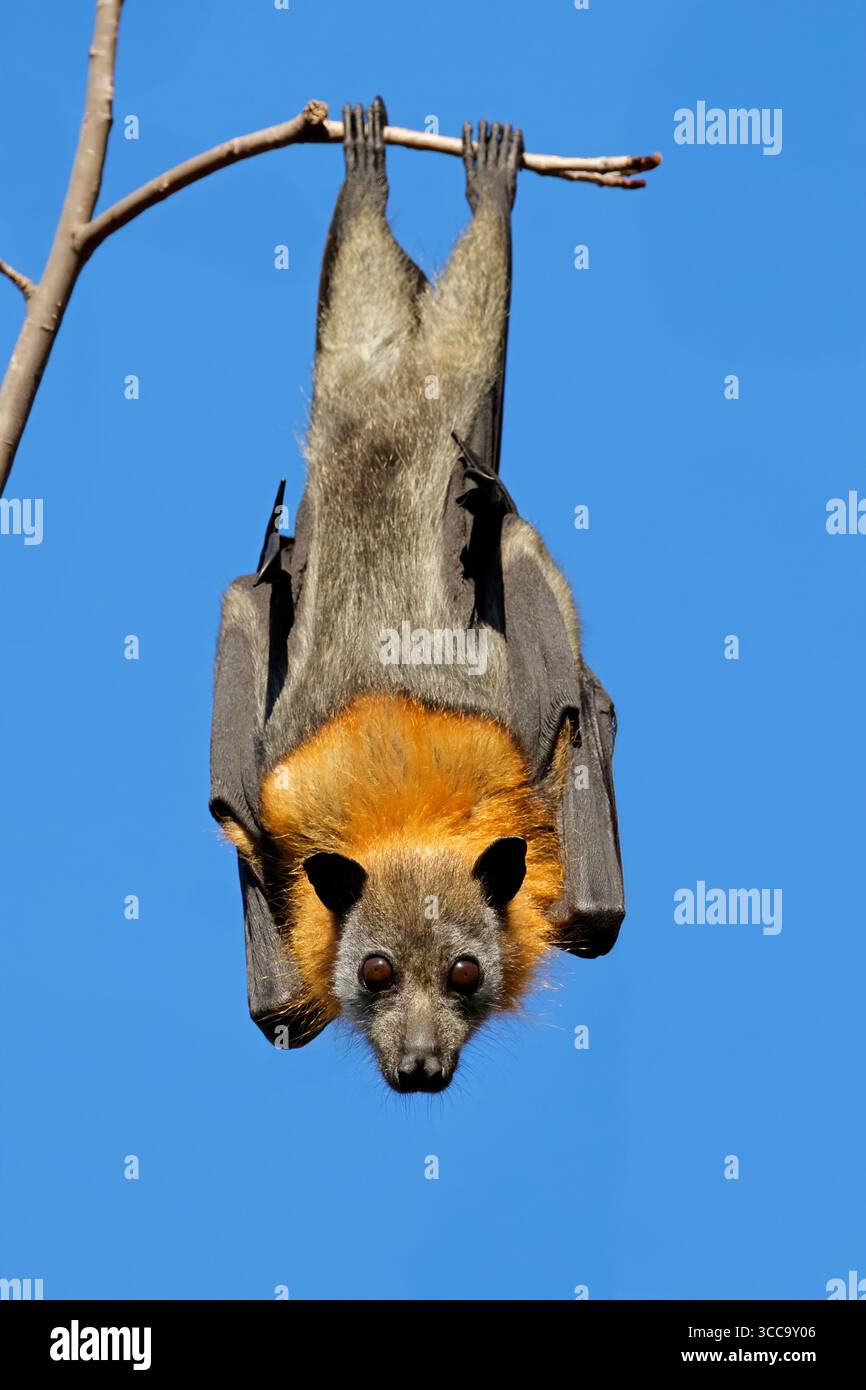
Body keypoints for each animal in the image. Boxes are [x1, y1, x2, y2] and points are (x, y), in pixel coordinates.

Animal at [210, 98, 624, 1093]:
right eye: (375, 970)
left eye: (465, 972)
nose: (421, 1065)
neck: (399, 806)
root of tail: (390, 396)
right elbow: (279, 1009)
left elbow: (592, 919)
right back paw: (374, 171)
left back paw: (479, 179)